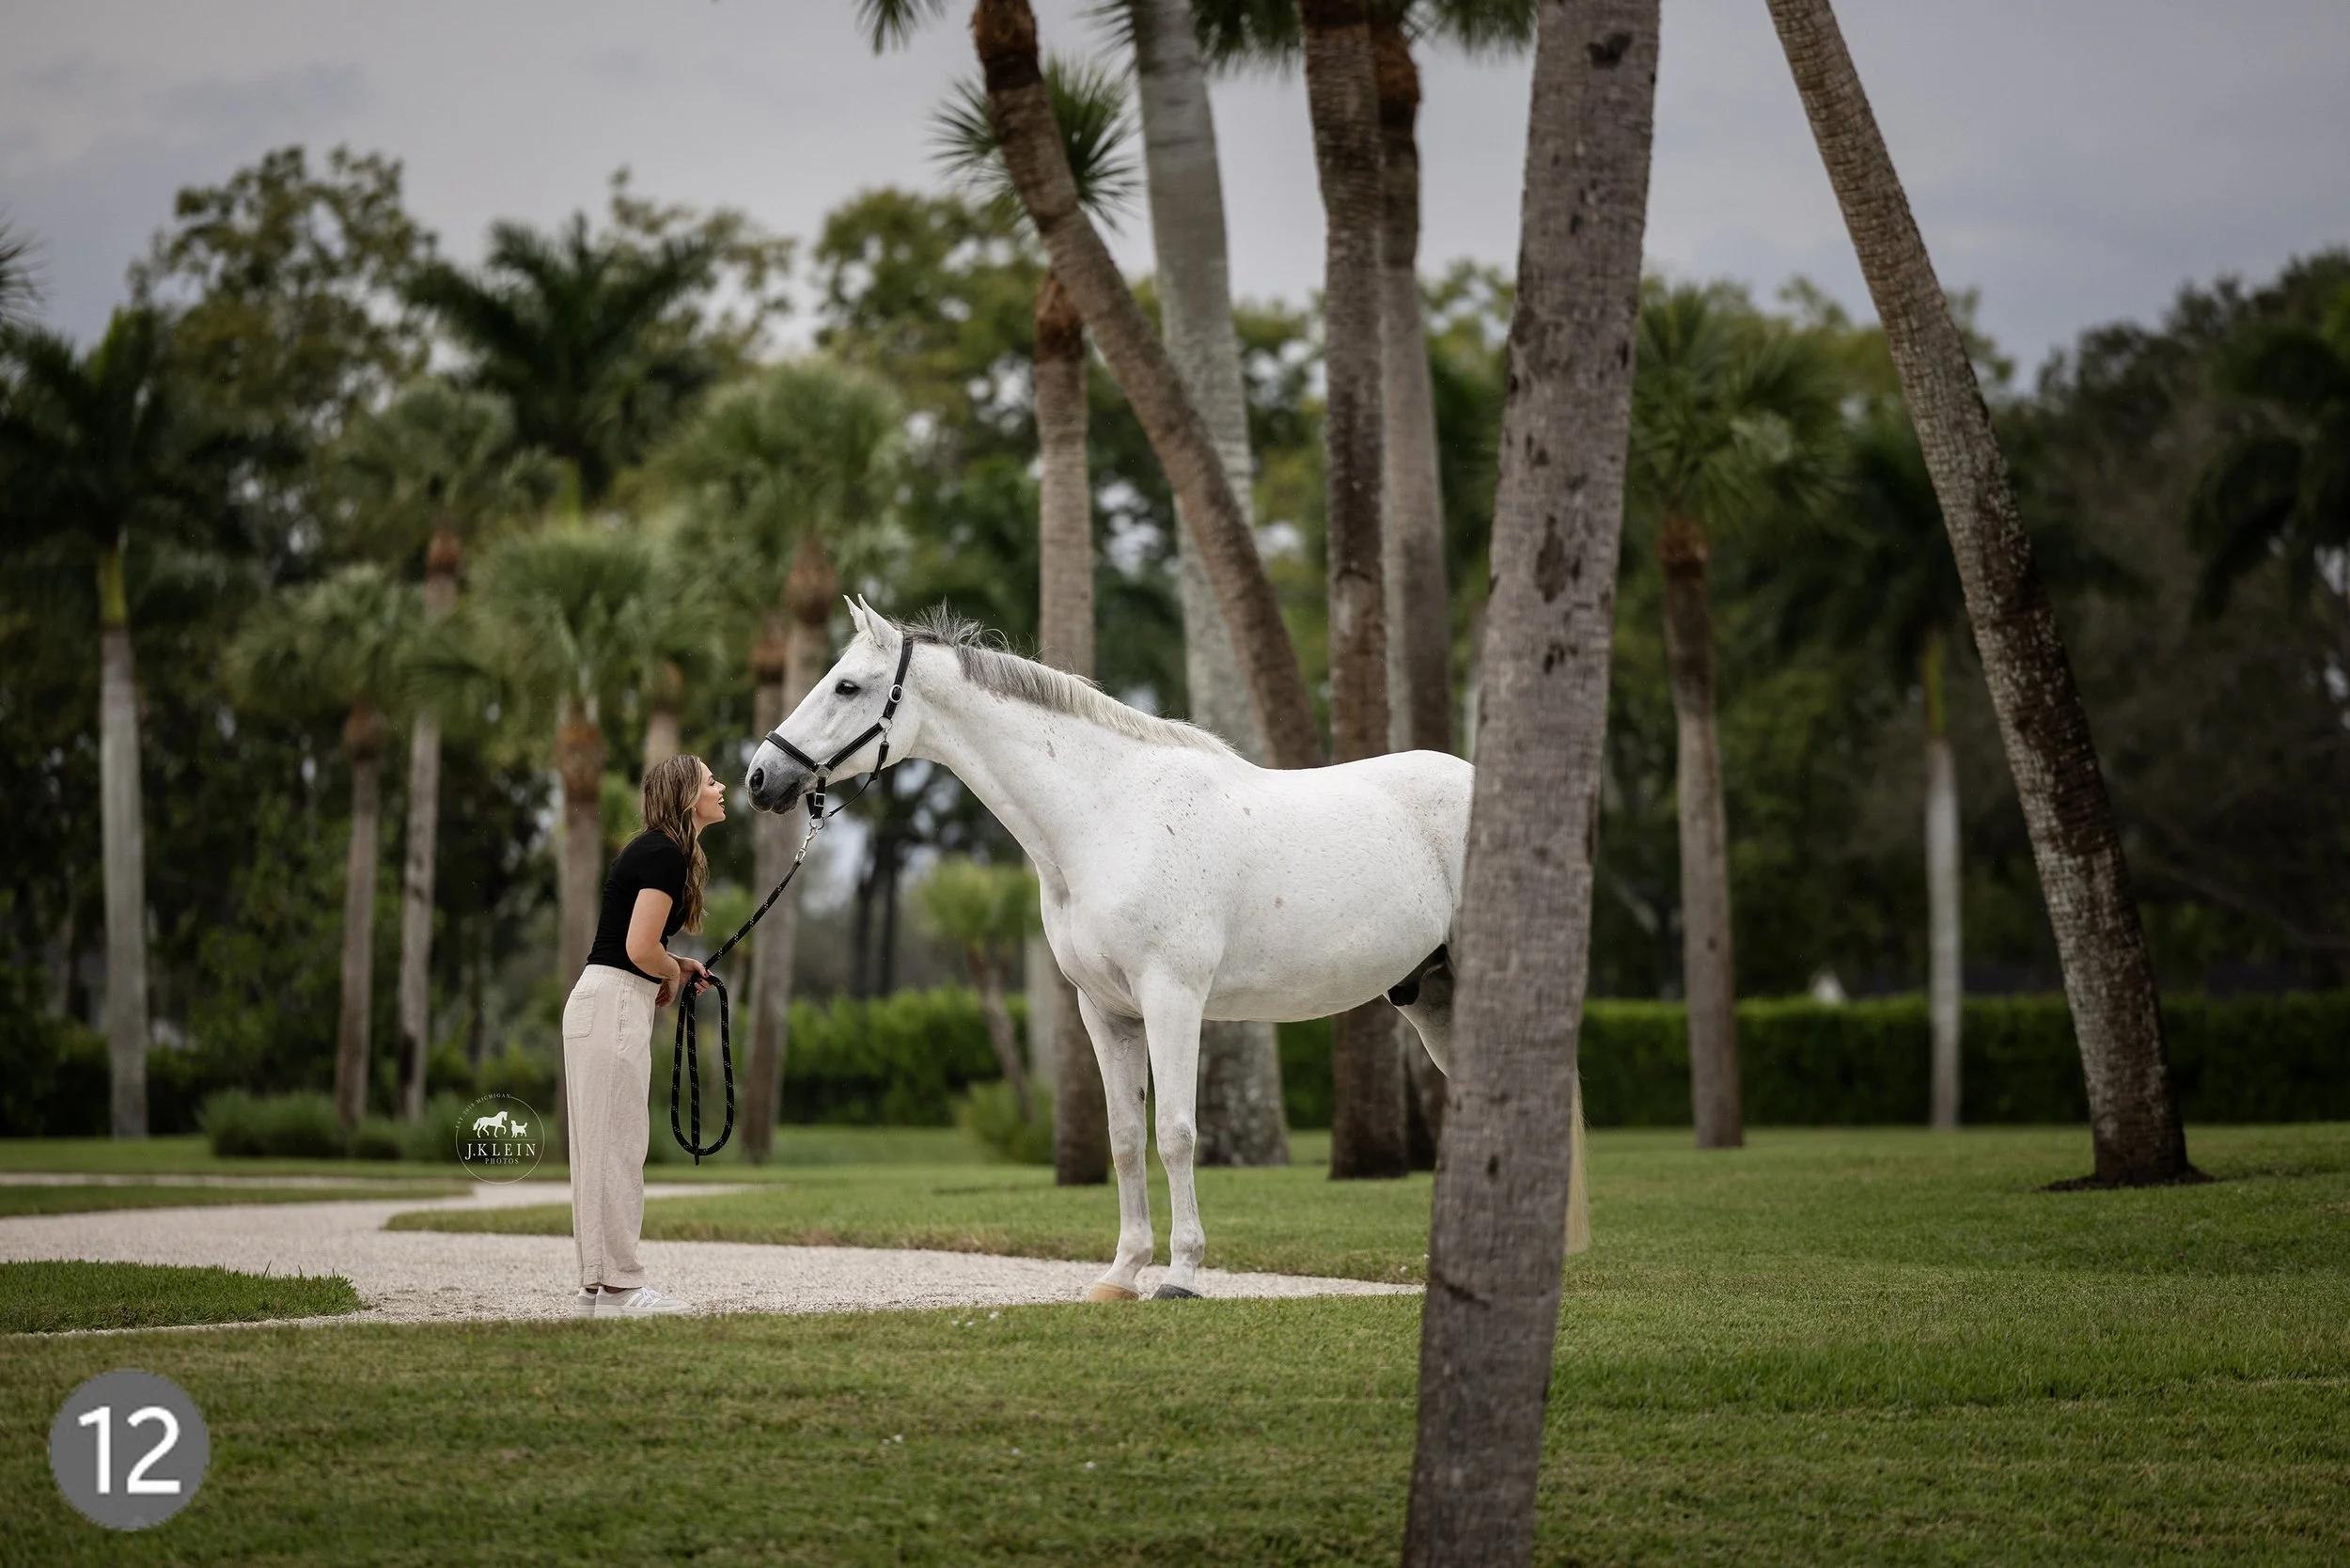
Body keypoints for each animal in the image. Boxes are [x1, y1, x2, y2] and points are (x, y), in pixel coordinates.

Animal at [746, 600, 1585, 1301]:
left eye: (847, 686)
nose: (761, 776)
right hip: (1432, 999)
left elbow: (1176, 1134)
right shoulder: (1105, 1012)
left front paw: (1181, 1275)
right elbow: (1124, 1140)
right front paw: (1122, 1274)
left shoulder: (1172, 999)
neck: (1108, 814)